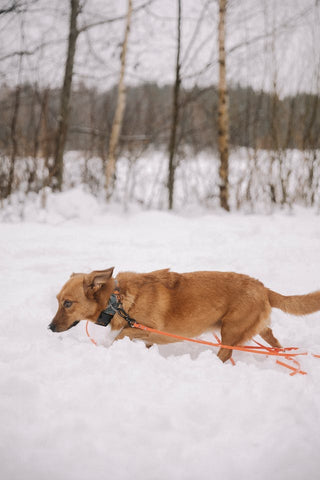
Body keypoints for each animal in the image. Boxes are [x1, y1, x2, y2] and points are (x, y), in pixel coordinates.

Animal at [48, 268, 320, 362]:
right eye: (58, 301)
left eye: (68, 303)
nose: (49, 328)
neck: (117, 300)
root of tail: (263, 287)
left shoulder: (152, 331)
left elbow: (121, 334)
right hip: (256, 329)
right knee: (275, 343)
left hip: (230, 330)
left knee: (226, 353)